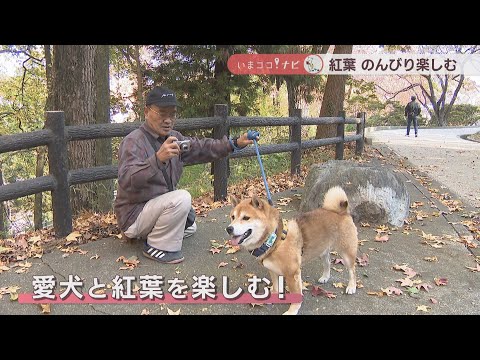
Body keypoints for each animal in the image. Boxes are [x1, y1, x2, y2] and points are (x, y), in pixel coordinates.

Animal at [226, 187, 356, 314]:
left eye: (246, 218)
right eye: (233, 217)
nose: (229, 229)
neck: (274, 240)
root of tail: (341, 211)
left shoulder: (292, 274)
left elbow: (296, 295)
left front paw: (292, 310)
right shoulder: (272, 270)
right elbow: (276, 287)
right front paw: (273, 296)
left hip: (346, 253)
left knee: (352, 271)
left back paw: (351, 286)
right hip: (322, 250)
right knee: (327, 262)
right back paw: (325, 277)